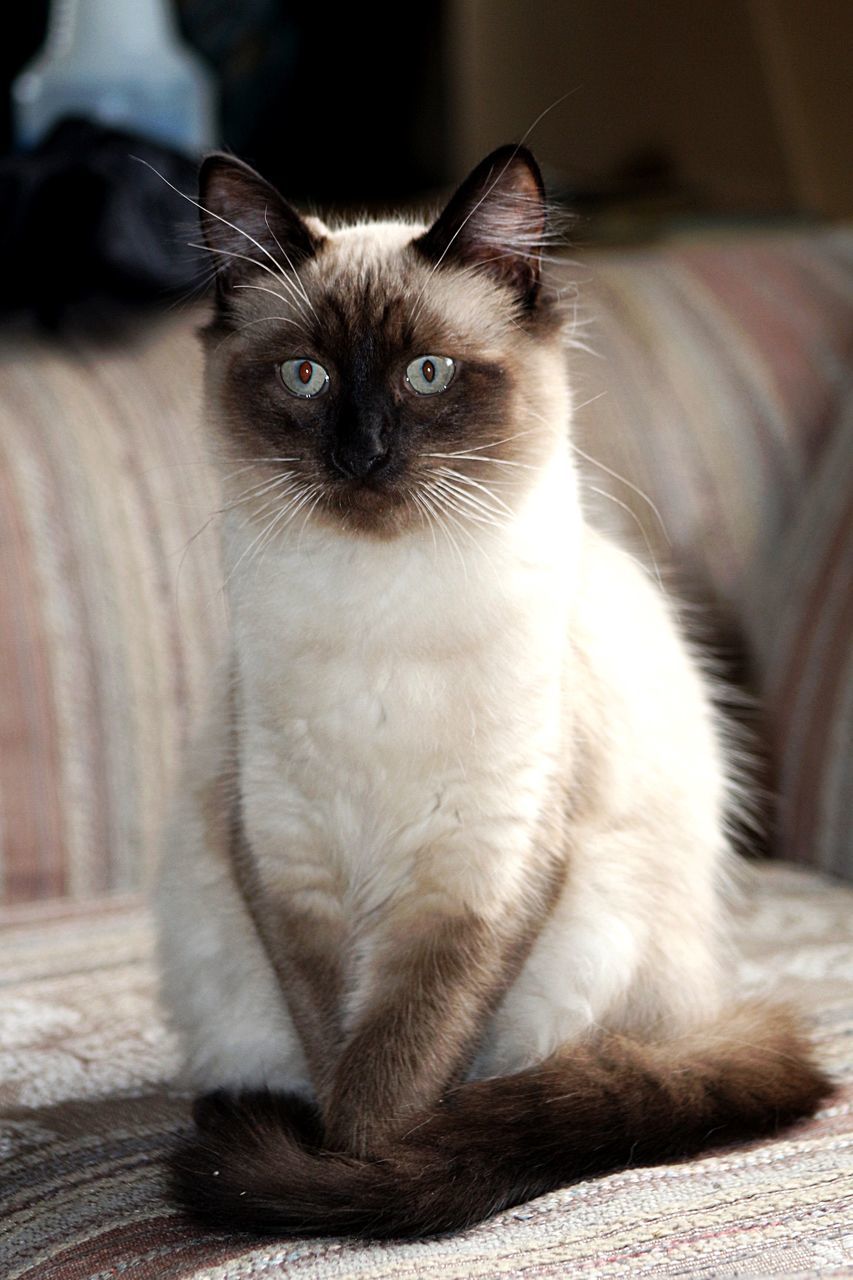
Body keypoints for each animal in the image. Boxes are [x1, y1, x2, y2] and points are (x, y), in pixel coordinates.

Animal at [156, 145, 824, 1233]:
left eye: (426, 373)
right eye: (306, 375)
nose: (361, 455)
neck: (376, 609)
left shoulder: (477, 872)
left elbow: (396, 1064)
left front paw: (361, 1174)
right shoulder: (289, 867)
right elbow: (336, 1042)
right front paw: (334, 1162)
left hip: (597, 942)